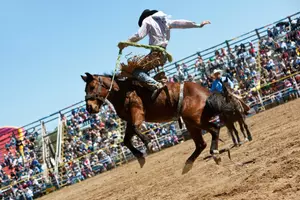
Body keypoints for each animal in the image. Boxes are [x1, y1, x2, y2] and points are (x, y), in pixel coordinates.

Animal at [81, 73, 226, 173]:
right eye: (85, 89)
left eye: (92, 87)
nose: (89, 107)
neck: (123, 92)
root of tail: (207, 93)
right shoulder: (129, 119)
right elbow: (126, 140)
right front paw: (140, 157)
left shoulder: (138, 114)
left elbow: (135, 128)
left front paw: (149, 144)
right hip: (191, 122)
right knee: (201, 143)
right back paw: (189, 164)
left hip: (195, 119)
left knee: (214, 129)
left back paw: (214, 153)